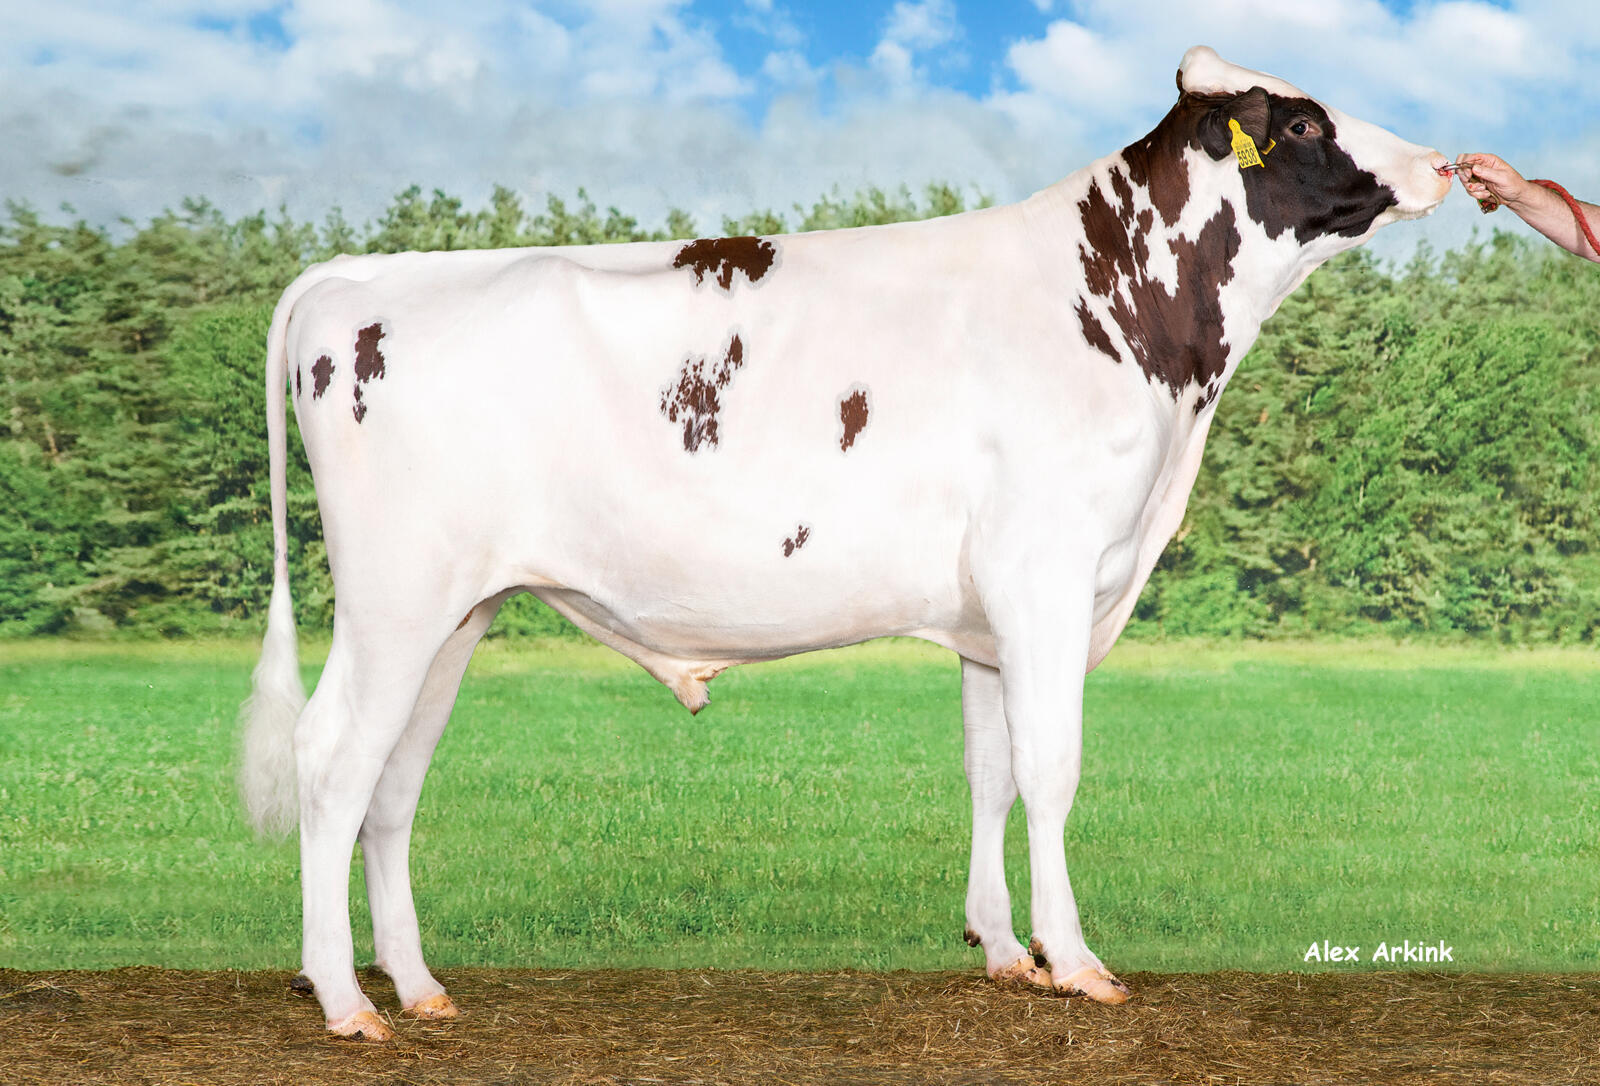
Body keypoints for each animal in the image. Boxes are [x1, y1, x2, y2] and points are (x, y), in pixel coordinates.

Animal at [242, 46, 1453, 1040]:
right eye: (1304, 122)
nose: (1444, 162)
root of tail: (364, 271)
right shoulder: (1049, 573)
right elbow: (1051, 767)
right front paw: (1075, 960)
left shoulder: (988, 614)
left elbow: (990, 770)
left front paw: (1002, 949)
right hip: (395, 596)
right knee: (331, 756)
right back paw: (344, 1001)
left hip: (458, 608)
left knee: (393, 780)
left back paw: (417, 987)